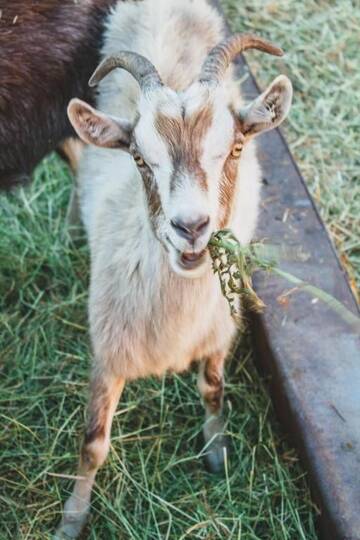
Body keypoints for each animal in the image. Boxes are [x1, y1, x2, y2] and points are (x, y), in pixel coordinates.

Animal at [56, 0, 292, 536]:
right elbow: (93, 443)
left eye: (236, 149)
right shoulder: (107, 352)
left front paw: (216, 453)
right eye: (140, 159)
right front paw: (72, 519)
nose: (192, 226)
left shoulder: (219, 335)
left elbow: (213, 391)